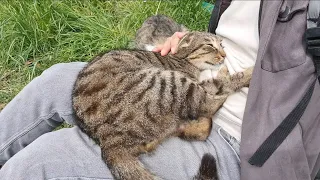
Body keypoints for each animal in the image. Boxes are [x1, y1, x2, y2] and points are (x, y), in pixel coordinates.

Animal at [72, 31, 252, 179]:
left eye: (222, 45)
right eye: (209, 46)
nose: (224, 55)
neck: (181, 59)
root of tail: (108, 140)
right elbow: (216, 85)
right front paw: (234, 73)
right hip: (171, 83)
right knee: (209, 102)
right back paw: (240, 74)